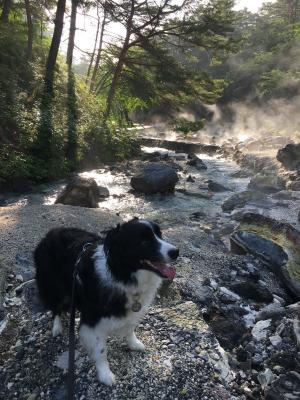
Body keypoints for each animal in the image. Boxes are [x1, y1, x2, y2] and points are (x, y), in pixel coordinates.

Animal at [34, 219, 179, 384]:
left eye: (159, 234)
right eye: (144, 241)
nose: (176, 251)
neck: (123, 275)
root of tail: (49, 234)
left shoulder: (132, 310)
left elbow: (130, 328)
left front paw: (133, 343)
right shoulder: (92, 321)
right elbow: (101, 350)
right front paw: (105, 374)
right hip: (53, 286)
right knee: (55, 307)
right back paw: (57, 327)